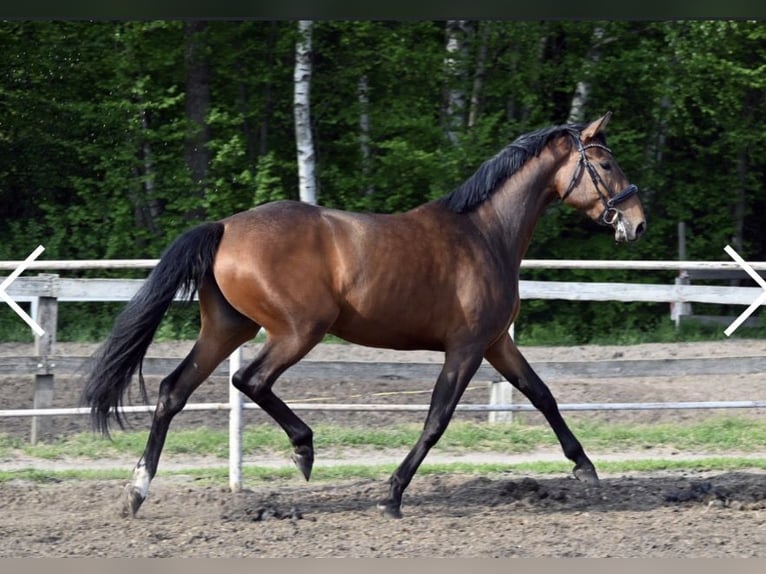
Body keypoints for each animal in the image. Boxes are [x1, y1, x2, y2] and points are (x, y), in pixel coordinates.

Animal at [84, 111, 645, 520]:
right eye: (607, 165)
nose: (637, 222)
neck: (486, 234)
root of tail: (224, 226)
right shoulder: (465, 347)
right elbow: (437, 419)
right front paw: (391, 495)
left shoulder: (496, 343)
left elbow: (542, 395)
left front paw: (586, 469)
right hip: (298, 331)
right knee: (251, 380)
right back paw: (303, 450)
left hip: (227, 328)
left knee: (172, 392)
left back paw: (137, 491)